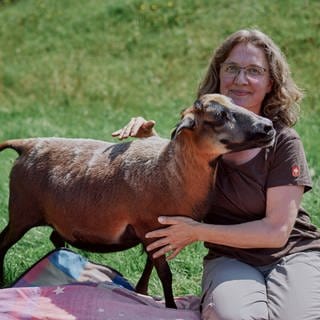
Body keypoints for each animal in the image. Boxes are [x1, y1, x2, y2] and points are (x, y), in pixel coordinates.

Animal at [0, 94, 276, 308]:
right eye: (218, 115)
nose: (269, 127)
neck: (171, 172)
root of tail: (27, 144)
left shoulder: (156, 233)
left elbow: (150, 266)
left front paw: (141, 293)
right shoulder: (149, 226)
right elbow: (164, 274)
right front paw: (170, 306)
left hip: (54, 217)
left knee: (55, 238)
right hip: (22, 212)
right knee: (3, 242)